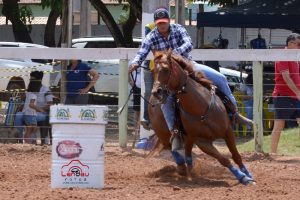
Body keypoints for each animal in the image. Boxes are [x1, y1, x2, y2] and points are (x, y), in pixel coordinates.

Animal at [150, 50, 255, 186]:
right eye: (153, 71)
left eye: (166, 69)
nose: (156, 92)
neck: (201, 109)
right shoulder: (202, 141)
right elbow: (223, 159)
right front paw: (242, 177)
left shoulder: (228, 131)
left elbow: (236, 155)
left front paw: (248, 175)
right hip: (166, 136)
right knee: (174, 150)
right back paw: (183, 169)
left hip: (188, 138)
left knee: (188, 155)